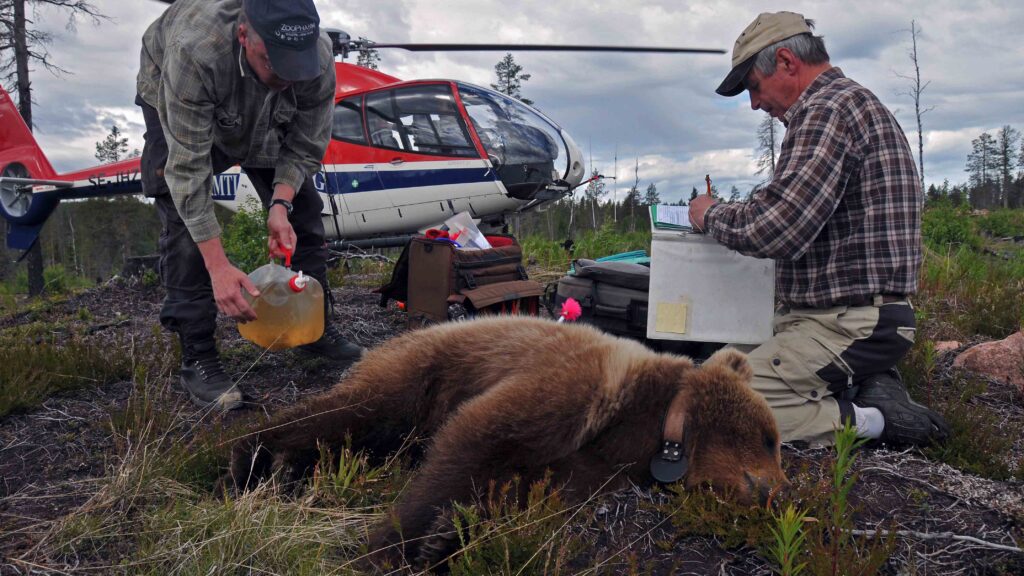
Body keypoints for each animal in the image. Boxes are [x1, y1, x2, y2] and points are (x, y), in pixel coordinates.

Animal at [228, 315, 787, 567]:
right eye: (771, 438)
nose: (776, 491)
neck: (649, 419)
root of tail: (389, 339)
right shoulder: (573, 387)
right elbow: (473, 439)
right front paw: (385, 548)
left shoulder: (586, 463)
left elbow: (519, 492)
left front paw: (445, 538)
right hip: (419, 371)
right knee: (347, 410)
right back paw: (250, 458)